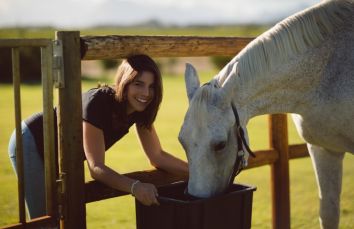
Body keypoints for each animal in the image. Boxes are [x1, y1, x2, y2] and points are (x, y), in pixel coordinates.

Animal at [180, 0, 354, 228]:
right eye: (182, 141)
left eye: (220, 145)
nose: (195, 199)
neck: (327, 73)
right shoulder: (324, 150)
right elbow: (328, 213)